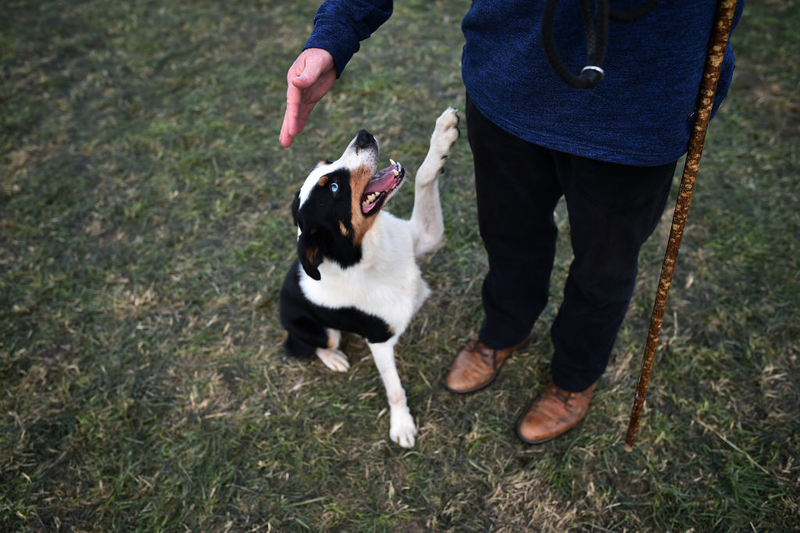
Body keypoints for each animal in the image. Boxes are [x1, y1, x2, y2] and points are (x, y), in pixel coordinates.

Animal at [280, 107, 460, 444]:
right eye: (334, 188)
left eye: (326, 162)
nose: (363, 135)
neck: (371, 252)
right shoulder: (379, 340)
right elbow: (394, 389)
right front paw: (401, 426)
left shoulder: (427, 237)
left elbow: (423, 176)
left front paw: (443, 133)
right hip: (315, 330)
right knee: (311, 344)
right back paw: (334, 358)